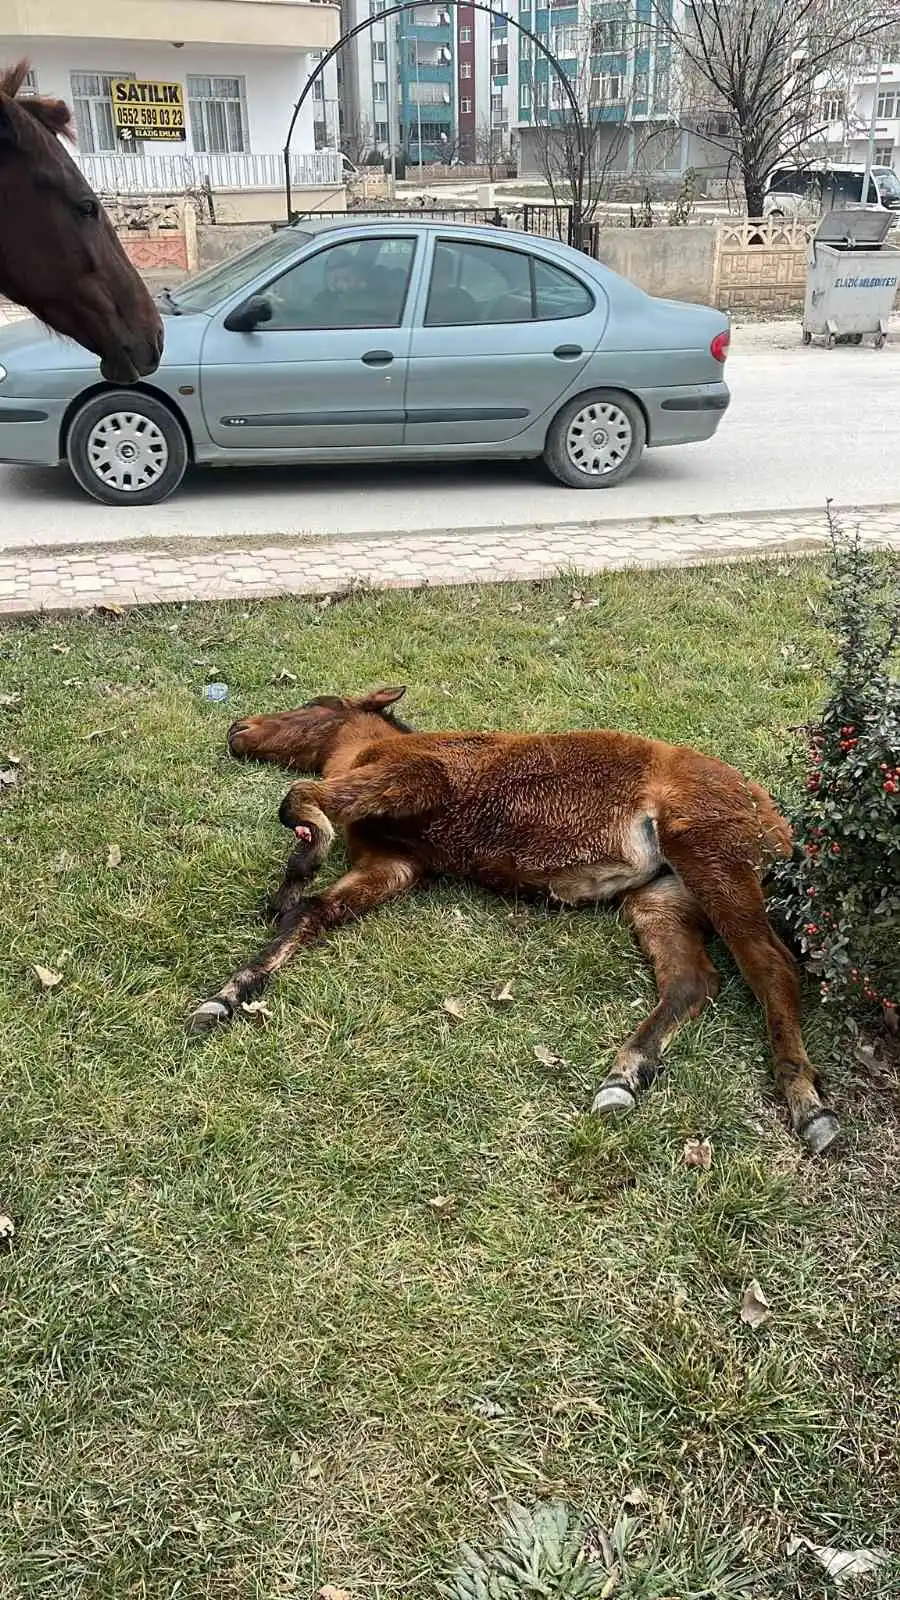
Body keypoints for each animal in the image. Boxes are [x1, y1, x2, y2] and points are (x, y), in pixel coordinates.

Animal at [192, 684, 839, 1152]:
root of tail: (779, 821)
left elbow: (300, 798)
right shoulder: (395, 864)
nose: (237, 727)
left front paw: (304, 853)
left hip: (712, 858)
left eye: (313, 705)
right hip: (660, 895)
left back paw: (808, 1104)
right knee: (691, 982)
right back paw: (622, 1078)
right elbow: (311, 912)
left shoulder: (416, 777)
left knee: (770, 966)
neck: (366, 753)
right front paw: (227, 996)